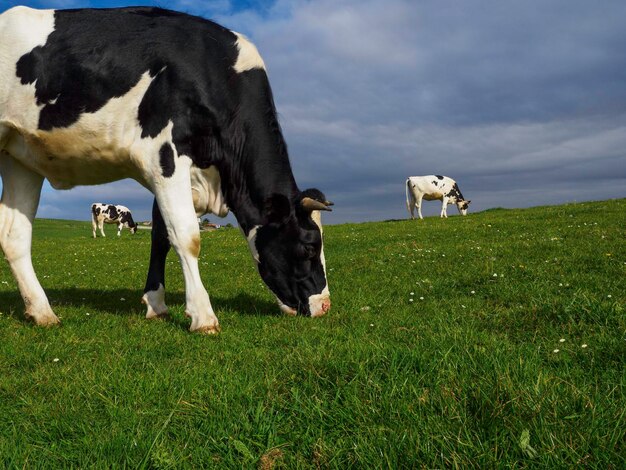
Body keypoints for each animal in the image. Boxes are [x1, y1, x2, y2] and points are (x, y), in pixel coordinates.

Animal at [0, 5, 332, 332]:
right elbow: (187, 236)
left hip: (20, 158)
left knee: (14, 235)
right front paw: (203, 316)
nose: (325, 306)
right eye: (309, 246)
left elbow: (161, 236)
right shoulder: (163, 155)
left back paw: (42, 312)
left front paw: (156, 304)